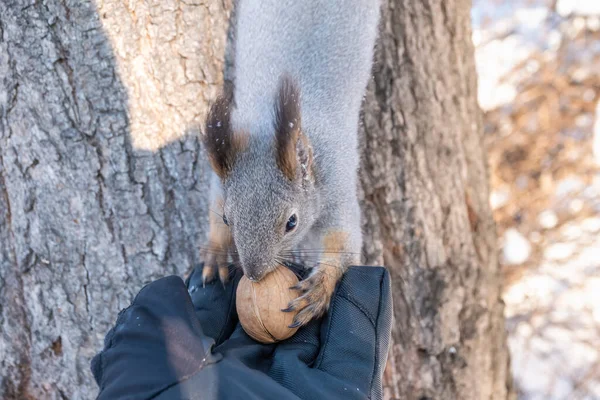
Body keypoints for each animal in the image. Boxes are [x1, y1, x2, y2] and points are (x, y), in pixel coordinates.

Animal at [200, 0, 380, 328]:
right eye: (228, 219)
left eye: (291, 223)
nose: (254, 275)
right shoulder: (224, 169)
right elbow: (213, 203)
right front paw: (216, 251)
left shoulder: (336, 184)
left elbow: (344, 240)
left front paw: (320, 287)